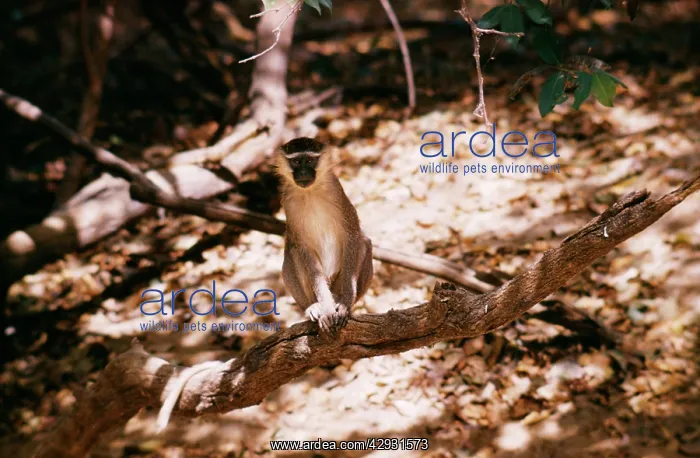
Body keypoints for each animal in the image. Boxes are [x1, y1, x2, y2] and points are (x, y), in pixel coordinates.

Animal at [275, 137, 373, 334]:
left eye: (309, 160)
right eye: (296, 161)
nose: (303, 172)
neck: (310, 192)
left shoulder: (337, 193)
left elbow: (352, 234)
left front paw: (344, 304)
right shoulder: (288, 201)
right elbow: (303, 248)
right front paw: (326, 309)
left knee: (364, 243)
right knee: (293, 251)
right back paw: (313, 306)